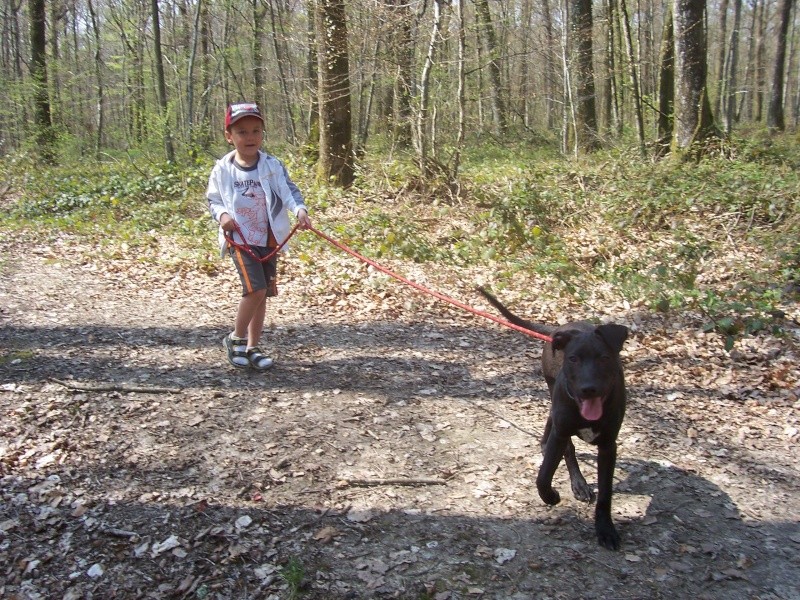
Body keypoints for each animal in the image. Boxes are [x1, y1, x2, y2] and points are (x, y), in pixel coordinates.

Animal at [478, 288, 628, 552]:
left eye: (604, 358)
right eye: (574, 359)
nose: (589, 389)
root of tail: (560, 329)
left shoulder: (609, 445)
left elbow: (606, 492)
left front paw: (606, 529)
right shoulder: (562, 432)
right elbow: (544, 475)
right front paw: (551, 496)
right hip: (553, 391)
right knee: (564, 443)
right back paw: (577, 482)